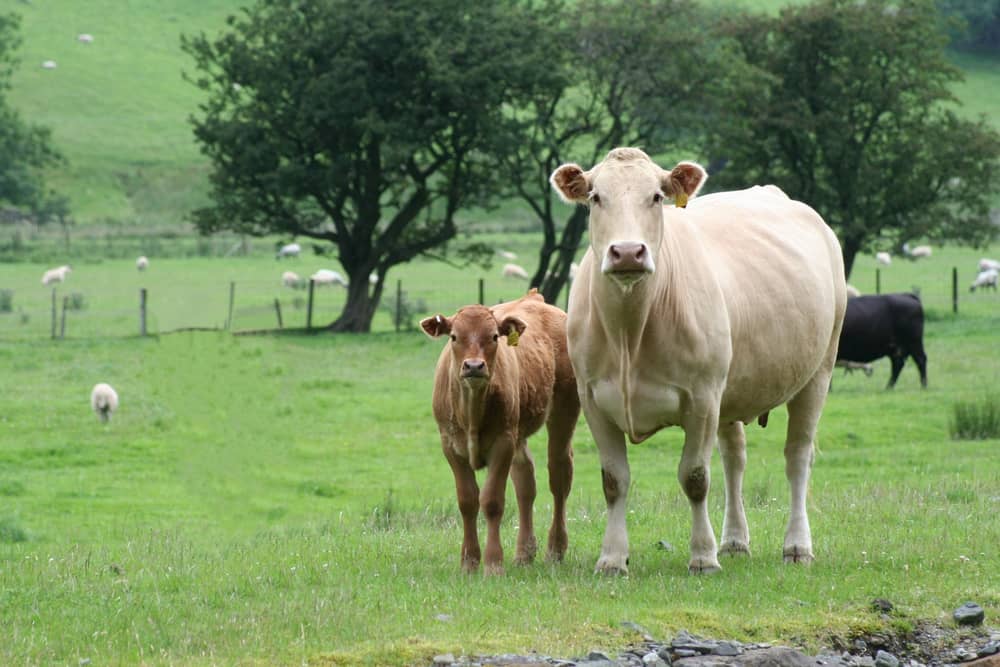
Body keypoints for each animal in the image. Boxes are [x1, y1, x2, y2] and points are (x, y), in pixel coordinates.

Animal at [420, 289, 579, 574]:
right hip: (519, 432)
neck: (471, 411)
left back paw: (555, 550)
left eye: (494, 336)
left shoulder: (502, 443)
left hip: (564, 411)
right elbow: (467, 501)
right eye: (454, 336)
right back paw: (524, 553)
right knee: (526, 482)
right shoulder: (450, 446)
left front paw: (494, 563)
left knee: (559, 477)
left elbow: (492, 501)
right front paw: (469, 562)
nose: (474, 366)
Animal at [550, 147, 846, 575]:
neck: (628, 334)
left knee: (797, 457)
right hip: (733, 388)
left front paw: (703, 556)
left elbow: (695, 477)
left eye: (656, 196)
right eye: (595, 197)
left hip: (818, 371)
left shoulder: (703, 398)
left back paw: (796, 546)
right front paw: (612, 558)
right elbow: (614, 480)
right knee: (734, 458)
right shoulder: (593, 400)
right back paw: (735, 541)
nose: (627, 252)